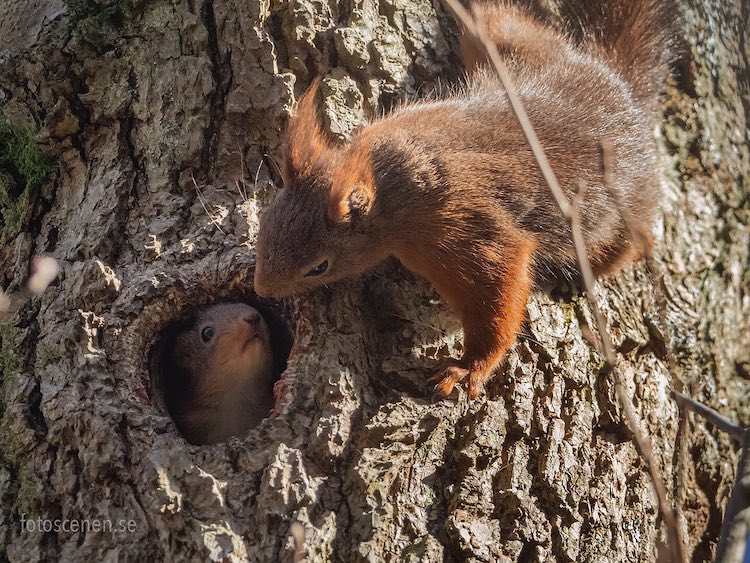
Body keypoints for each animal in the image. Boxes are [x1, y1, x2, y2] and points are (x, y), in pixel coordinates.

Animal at [254, 0, 680, 396]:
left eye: (319, 267)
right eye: (263, 226)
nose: (261, 291)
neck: (389, 182)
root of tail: (620, 88)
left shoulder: (463, 223)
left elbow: (495, 289)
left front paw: (469, 368)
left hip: (625, 212)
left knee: (629, 243)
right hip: (510, 47)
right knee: (502, 20)